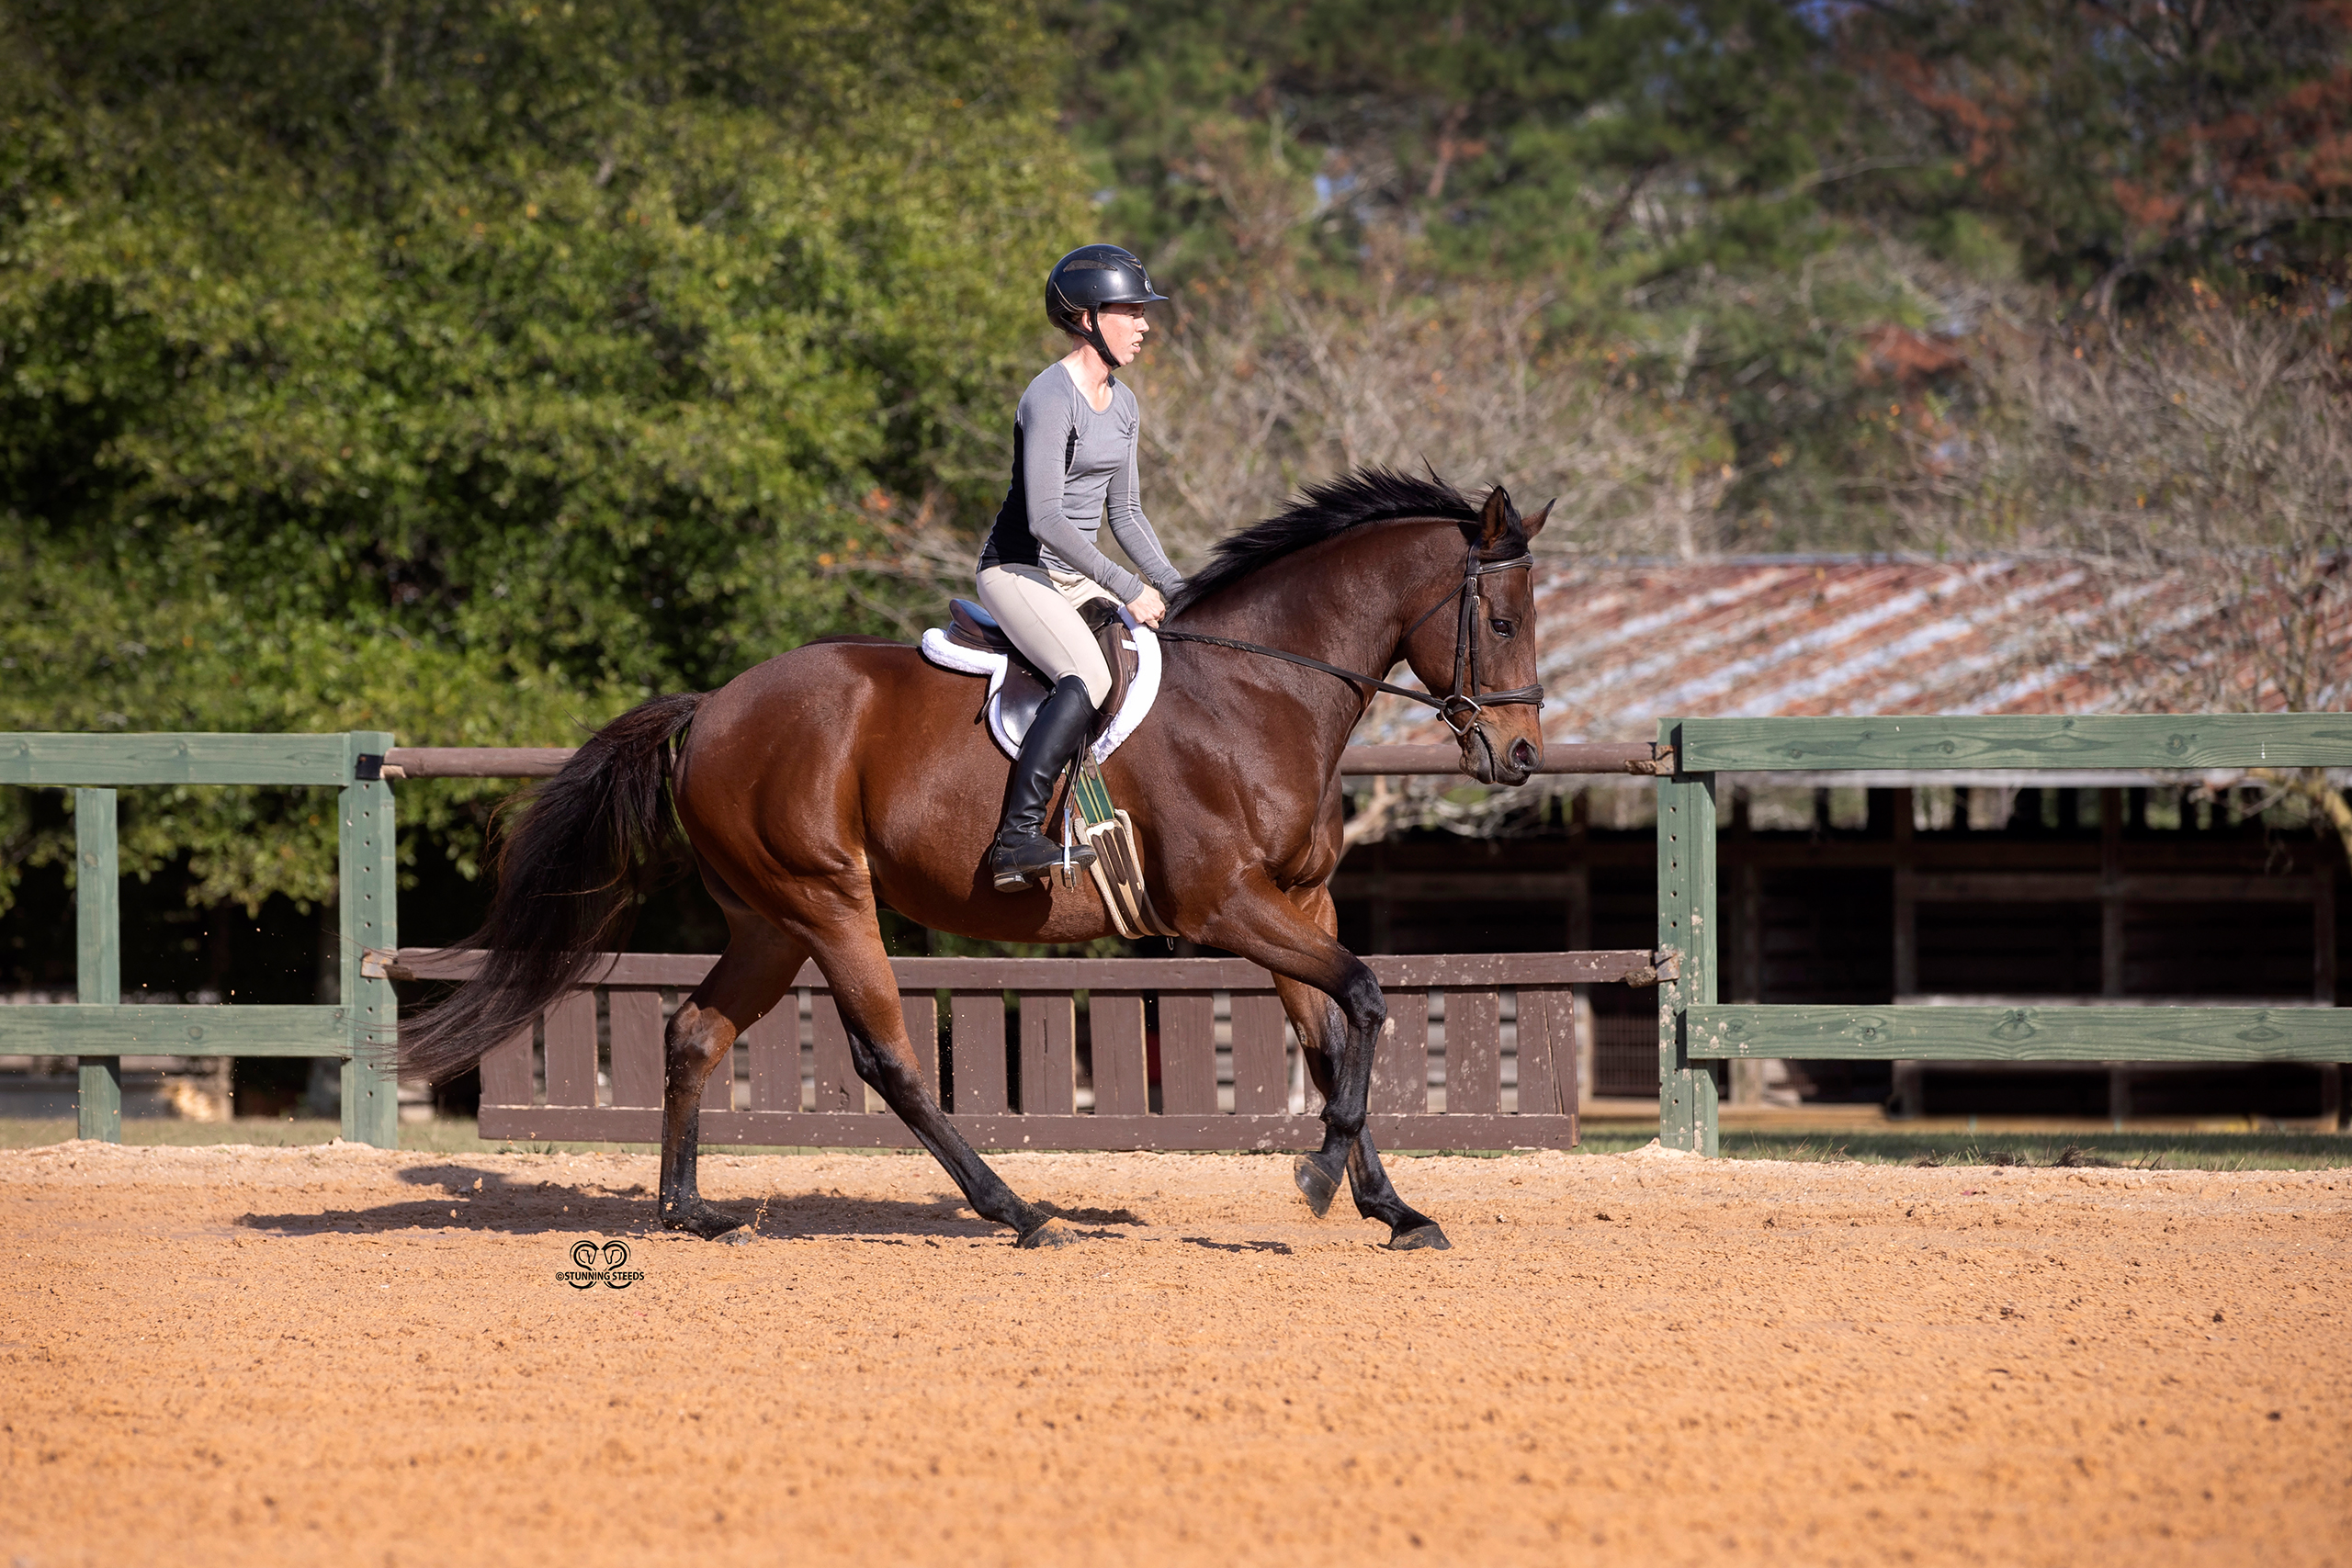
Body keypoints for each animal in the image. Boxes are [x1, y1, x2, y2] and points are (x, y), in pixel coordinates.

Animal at [401, 465, 1543, 1250]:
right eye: (1498, 618)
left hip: (772, 920)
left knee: (693, 1031)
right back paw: (1016, 1209)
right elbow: (1367, 998)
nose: (1521, 755)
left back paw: (690, 1212)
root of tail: (715, 705)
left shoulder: (1301, 904)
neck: (1262, 693)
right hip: (829, 901)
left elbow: (1336, 1028)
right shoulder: (1228, 906)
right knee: (887, 1057)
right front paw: (1321, 1182)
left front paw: (1391, 1207)